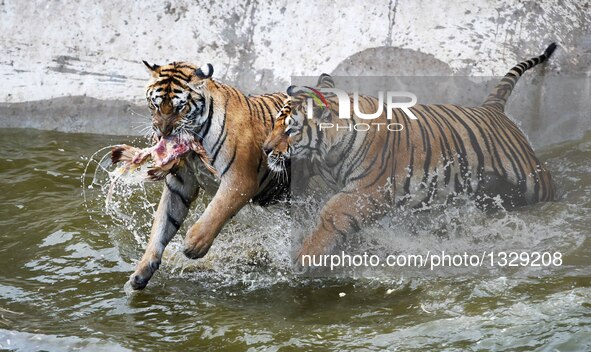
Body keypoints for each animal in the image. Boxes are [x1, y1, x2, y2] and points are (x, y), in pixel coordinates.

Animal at [123, 60, 290, 290]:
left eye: (180, 107)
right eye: (155, 105)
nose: (163, 132)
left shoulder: (240, 180)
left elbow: (216, 210)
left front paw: (193, 246)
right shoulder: (180, 184)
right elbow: (163, 223)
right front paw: (141, 272)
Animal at [262, 43, 556, 264]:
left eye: (290, 129)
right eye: (276, 122)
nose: (265, 148)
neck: (327, 152)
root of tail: (491, 108)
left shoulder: (368, 190)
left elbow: (332, 213)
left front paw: (304, 257)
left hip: (533, 179)